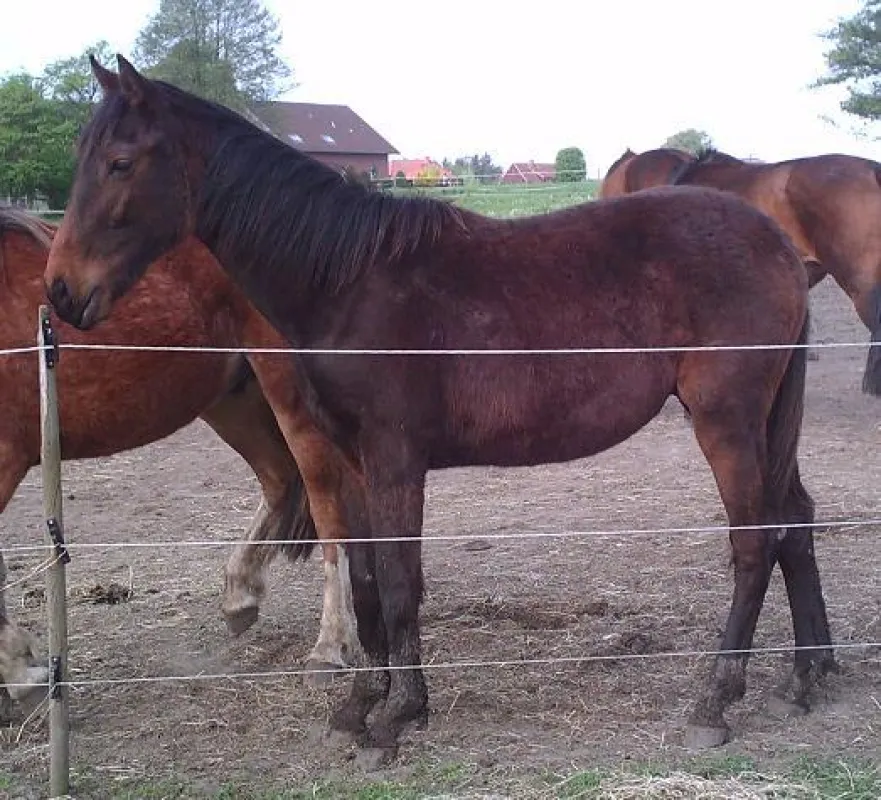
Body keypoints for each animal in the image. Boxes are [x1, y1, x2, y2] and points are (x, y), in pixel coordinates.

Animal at [0, 206, 365, 715]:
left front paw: (22, 673)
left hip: (286, 391)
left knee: (326, 499)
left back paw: (331, 646)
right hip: (232, 399)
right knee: (279, 480)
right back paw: (239, 596)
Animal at [45, 55, 835, 764]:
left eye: (119, 162)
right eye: (81, 158)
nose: (60, 292)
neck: (346, 283)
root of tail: (776, 244)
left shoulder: (397, 458)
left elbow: (400, 584)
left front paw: (397, 716)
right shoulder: (354, 461)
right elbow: (366, 584)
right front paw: (358, 708)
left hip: (726, 421)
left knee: (754, 543)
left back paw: (715, 702)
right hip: (765, 426)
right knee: (793, 521)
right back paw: (808, 675)